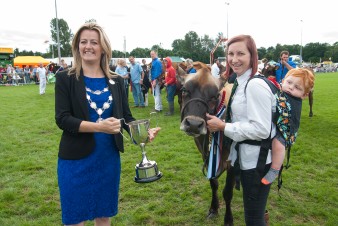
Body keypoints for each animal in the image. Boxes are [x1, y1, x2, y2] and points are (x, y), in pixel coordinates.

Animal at [180, 62, 235, 226]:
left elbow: (227, 192)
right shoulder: (206, 156)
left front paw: (228, 219)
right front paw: (213, 209)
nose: (193, 124)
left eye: (215, 96)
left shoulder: (233, 162)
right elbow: (213, 184)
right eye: (184, 90)